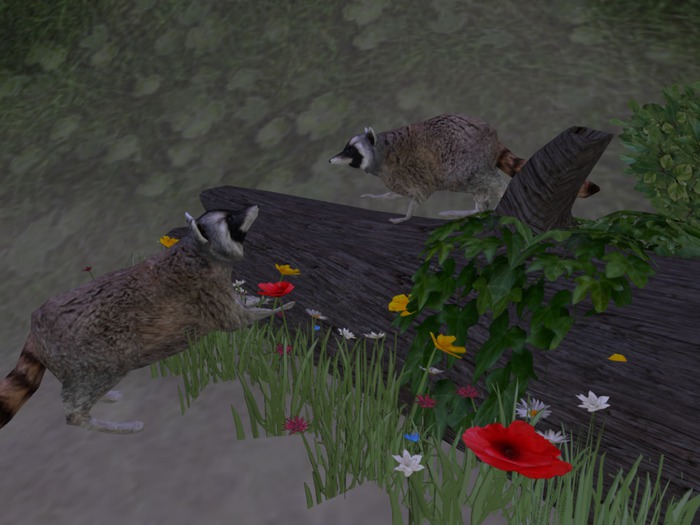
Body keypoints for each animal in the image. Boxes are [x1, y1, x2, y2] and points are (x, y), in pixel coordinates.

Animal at [0, 206, 294, 434]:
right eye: (230, 219)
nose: (253, 206)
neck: (198, 249)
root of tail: (36, 323)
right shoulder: (205, 292)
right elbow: (238, 319)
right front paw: (279, 307)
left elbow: (243, 304)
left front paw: (261, 299)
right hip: (97, 351)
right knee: (78, 405)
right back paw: (101, 421)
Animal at [329, 114, 600, 223]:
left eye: (351, 151)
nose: (331, 160)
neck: (382, 150)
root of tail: (492, 137)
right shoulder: (395, 175)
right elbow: (398, 192)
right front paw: (382, 196)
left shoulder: (409, 169)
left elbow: (418, 195)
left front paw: (406, 215)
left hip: (465, 161)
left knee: (485, 182)